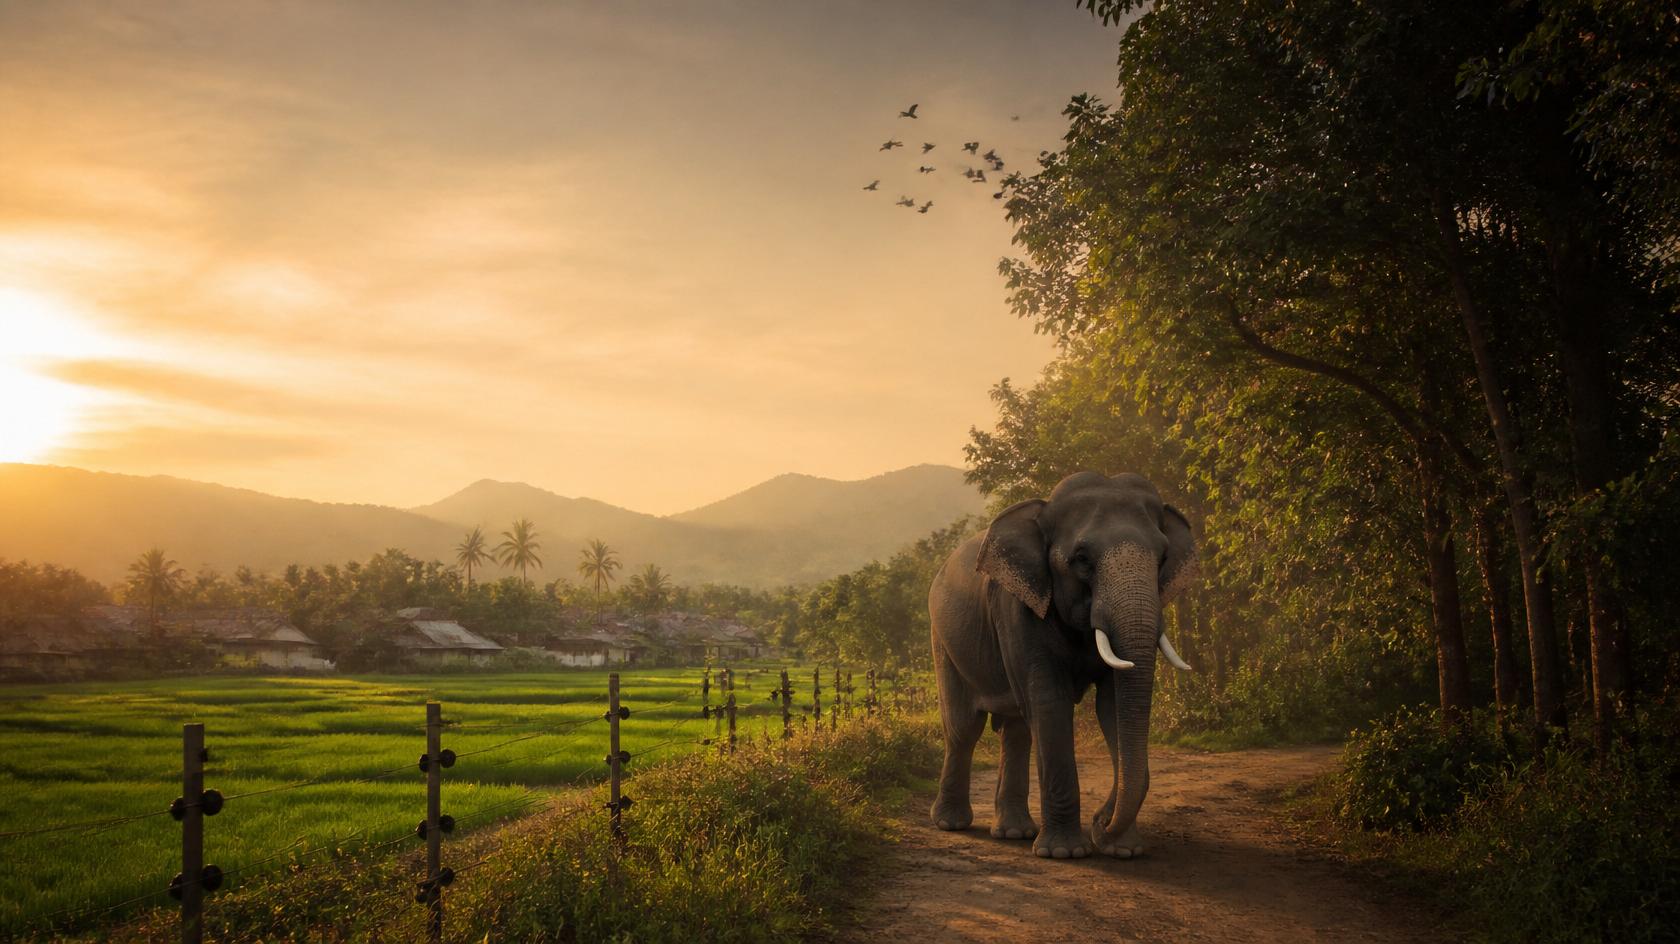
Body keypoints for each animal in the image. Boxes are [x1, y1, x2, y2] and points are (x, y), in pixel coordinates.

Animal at [927, 471, 1196, 859]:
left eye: (1162, 558)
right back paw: (952, 824)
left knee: (1016, 730)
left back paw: (1014, 832)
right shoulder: (1018, 607)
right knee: (964, 727)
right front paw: (1065, 853)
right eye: (1081, 558)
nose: (1101, 823)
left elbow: (1113, 706)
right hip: (943, 639)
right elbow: (1049, 702)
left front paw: (1124, 851)